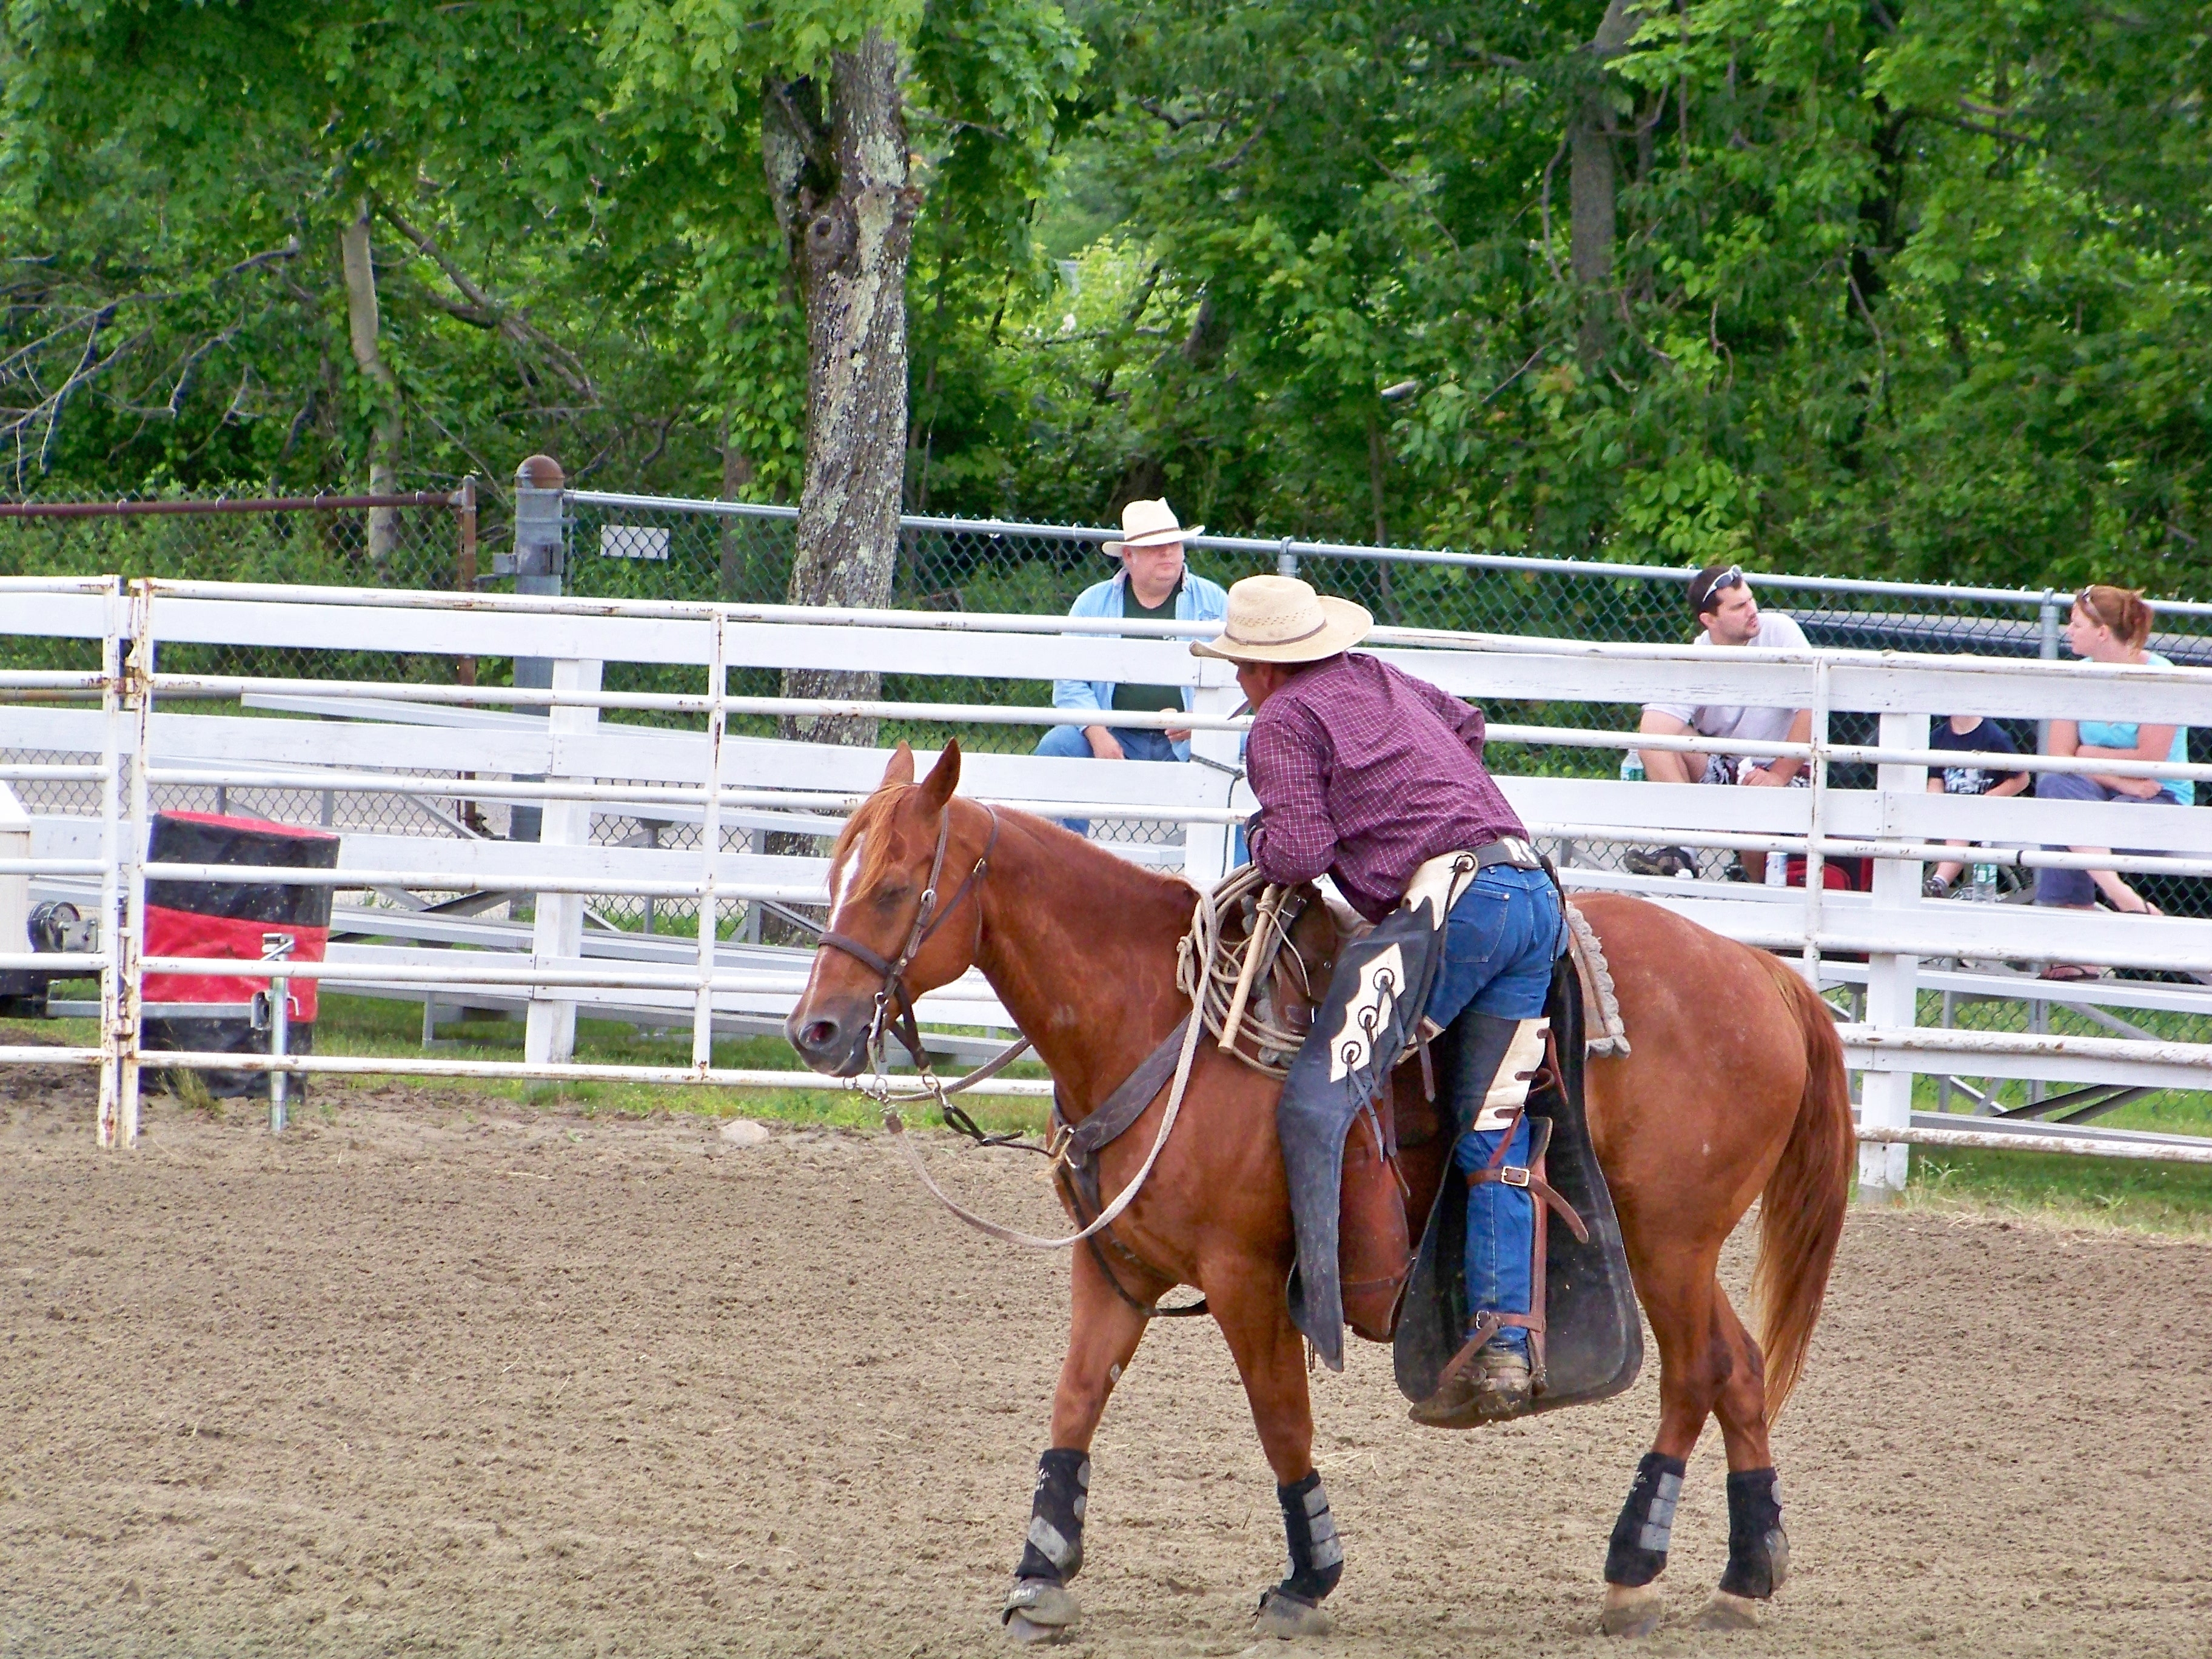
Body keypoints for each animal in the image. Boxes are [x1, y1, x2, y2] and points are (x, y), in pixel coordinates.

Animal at [787, 748, 1858, 1646]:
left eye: (893, 888)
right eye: (835, 878)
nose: (817, 1032)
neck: (1154, 1018)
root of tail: (1764, 973)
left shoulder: (1246, 1276)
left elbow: (1281, 1419)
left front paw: (1307, 1580)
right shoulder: (1116, 1265)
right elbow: (1074, 1403)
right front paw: (1040, 1576)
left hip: (1670, 1240)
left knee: (1695, 1371)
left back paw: (1634, 1568)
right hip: (1666, 1241)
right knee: (1739, 1367)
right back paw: (1745, 1574)